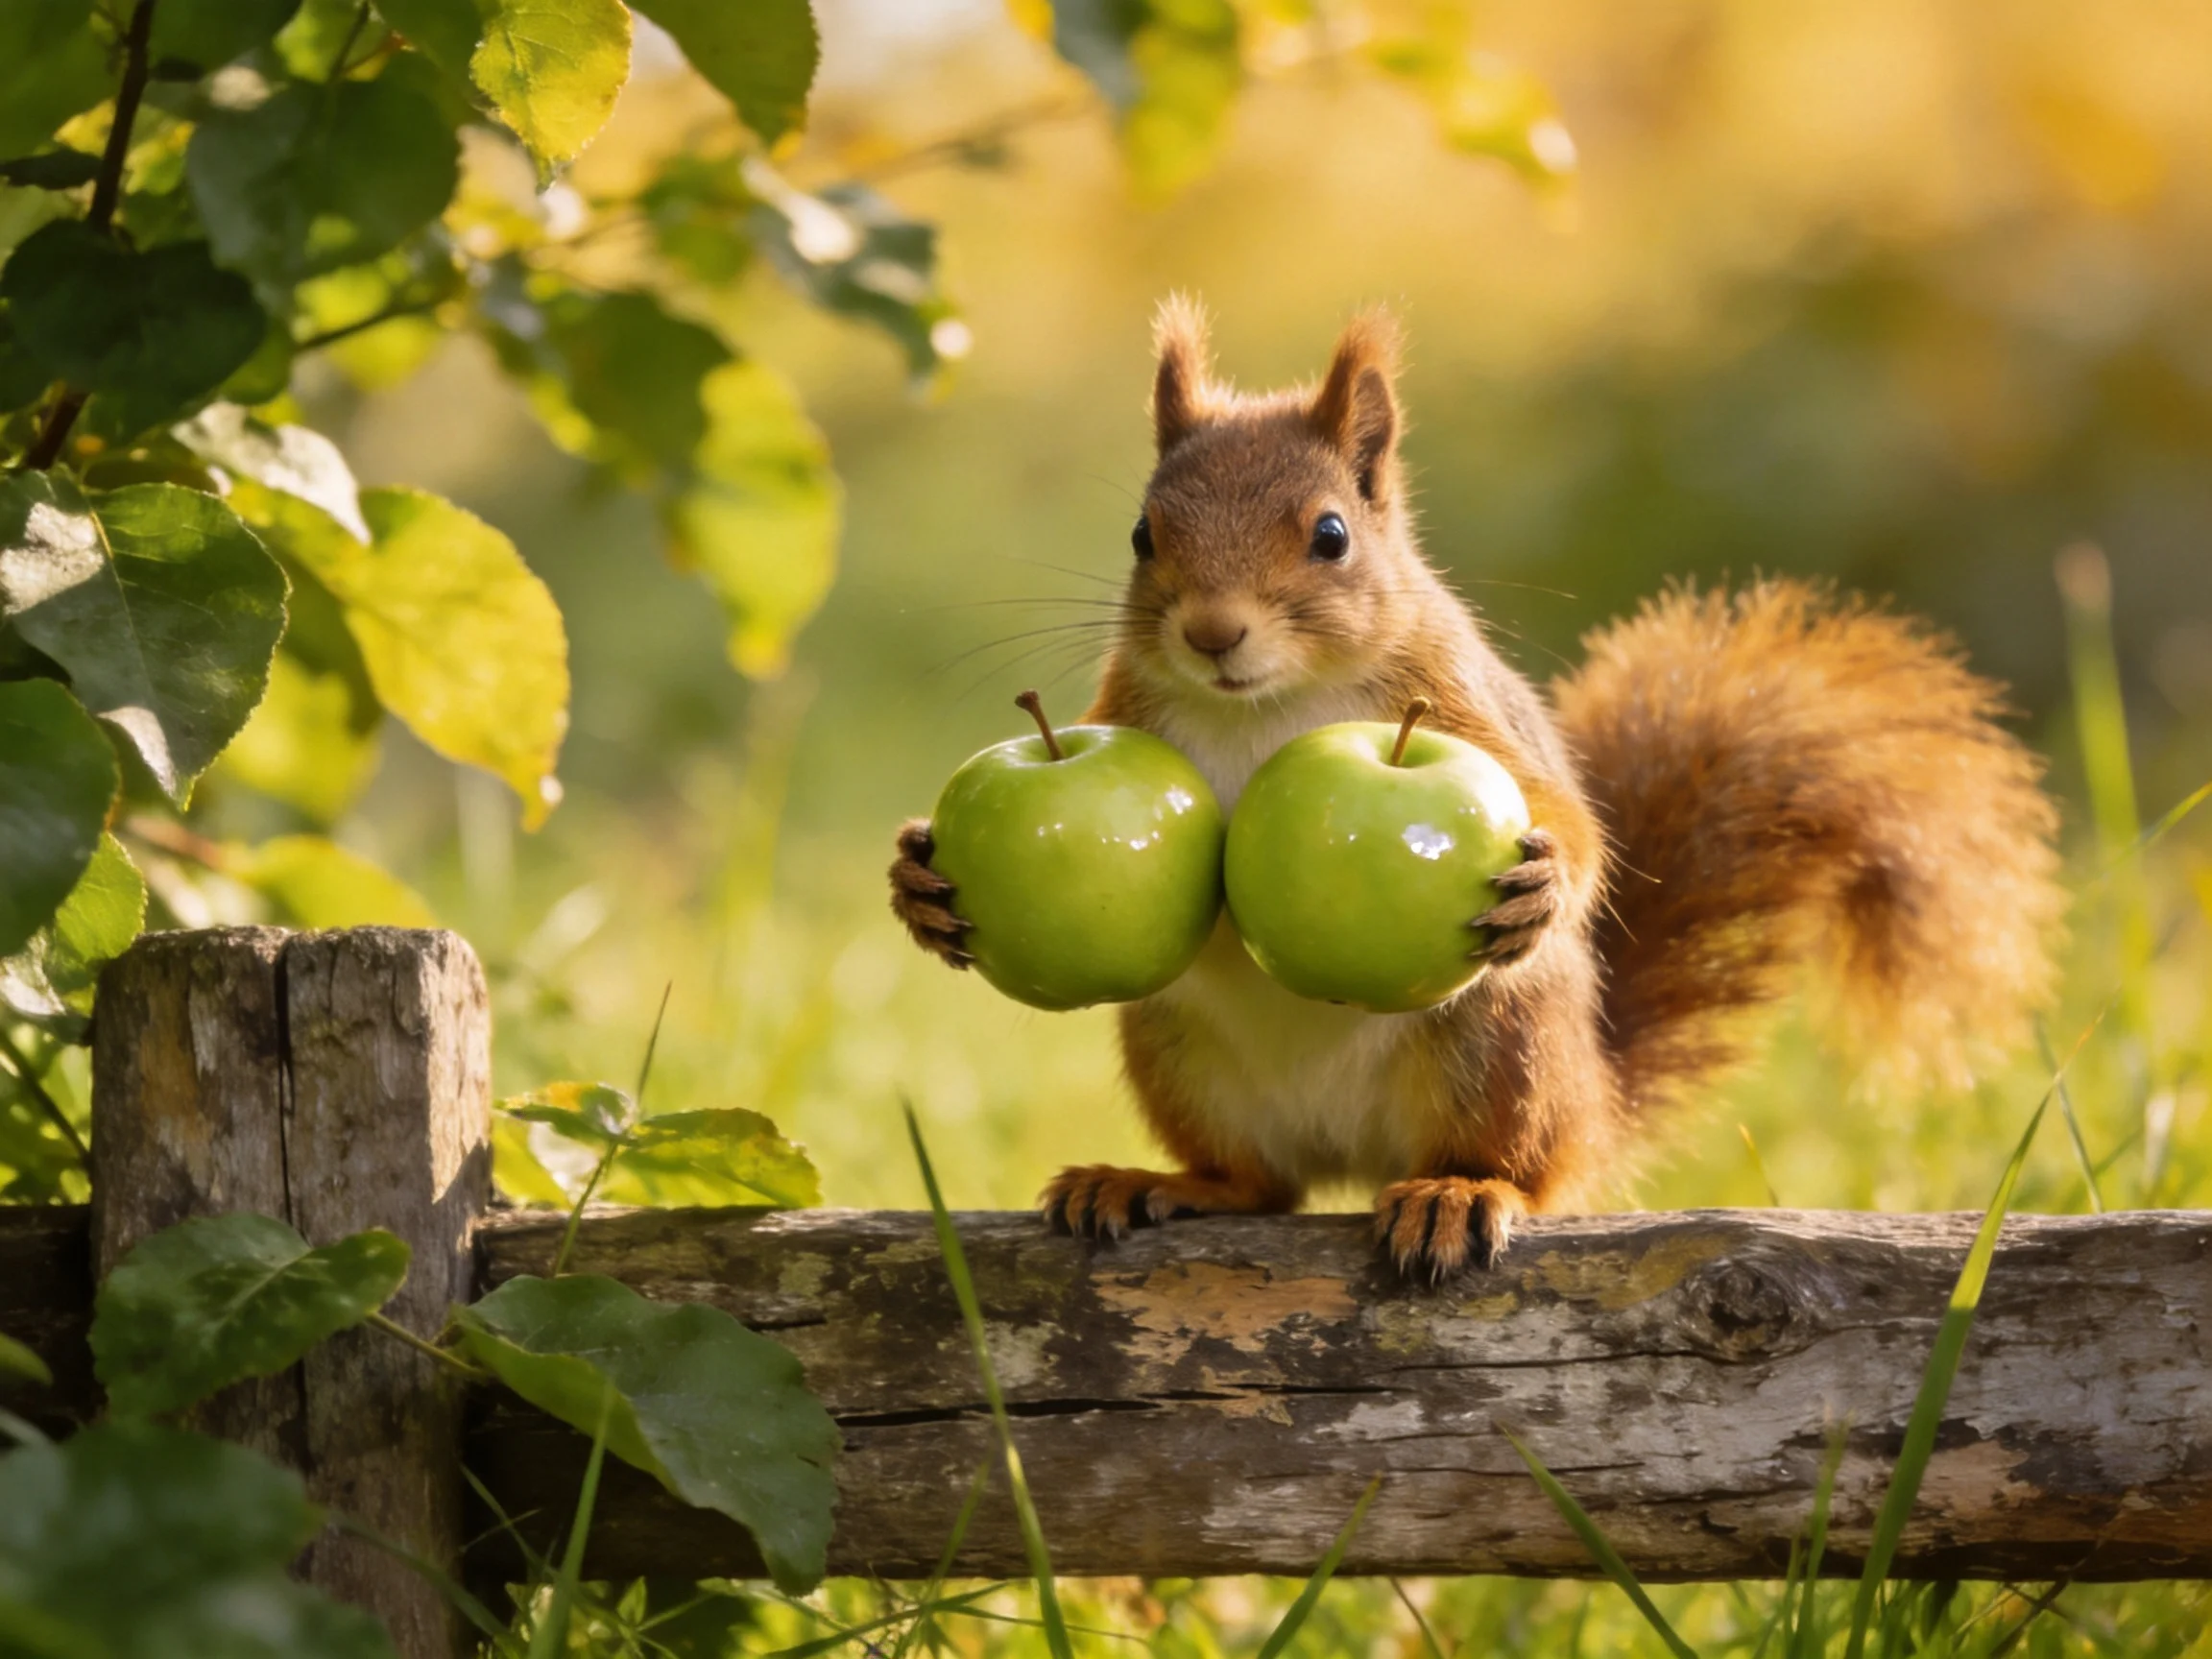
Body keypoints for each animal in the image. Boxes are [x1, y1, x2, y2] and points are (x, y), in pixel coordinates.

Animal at [890, 298, 2064, 1279]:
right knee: (1260, 1186)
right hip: (1178, 1053)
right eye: (1143, 536)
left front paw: (1544, 879)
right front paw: (921, 885)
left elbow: (1577, 825)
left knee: (1527, 1174)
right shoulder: (1127, 710)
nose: (1213, 634)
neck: (1268, 703)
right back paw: (1154, 1182)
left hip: (1502, 1045)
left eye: (1331, 535)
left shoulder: (1466, 706)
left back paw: (1461, 1193)